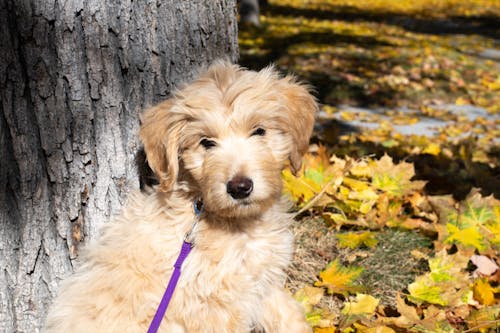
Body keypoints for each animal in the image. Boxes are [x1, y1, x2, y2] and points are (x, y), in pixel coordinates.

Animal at [44, 61, 316, 330]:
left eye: (259, 131)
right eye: (206, 142)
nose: (239, 187)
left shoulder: (262, 283)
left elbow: (288, 315)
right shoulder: (213, 306)